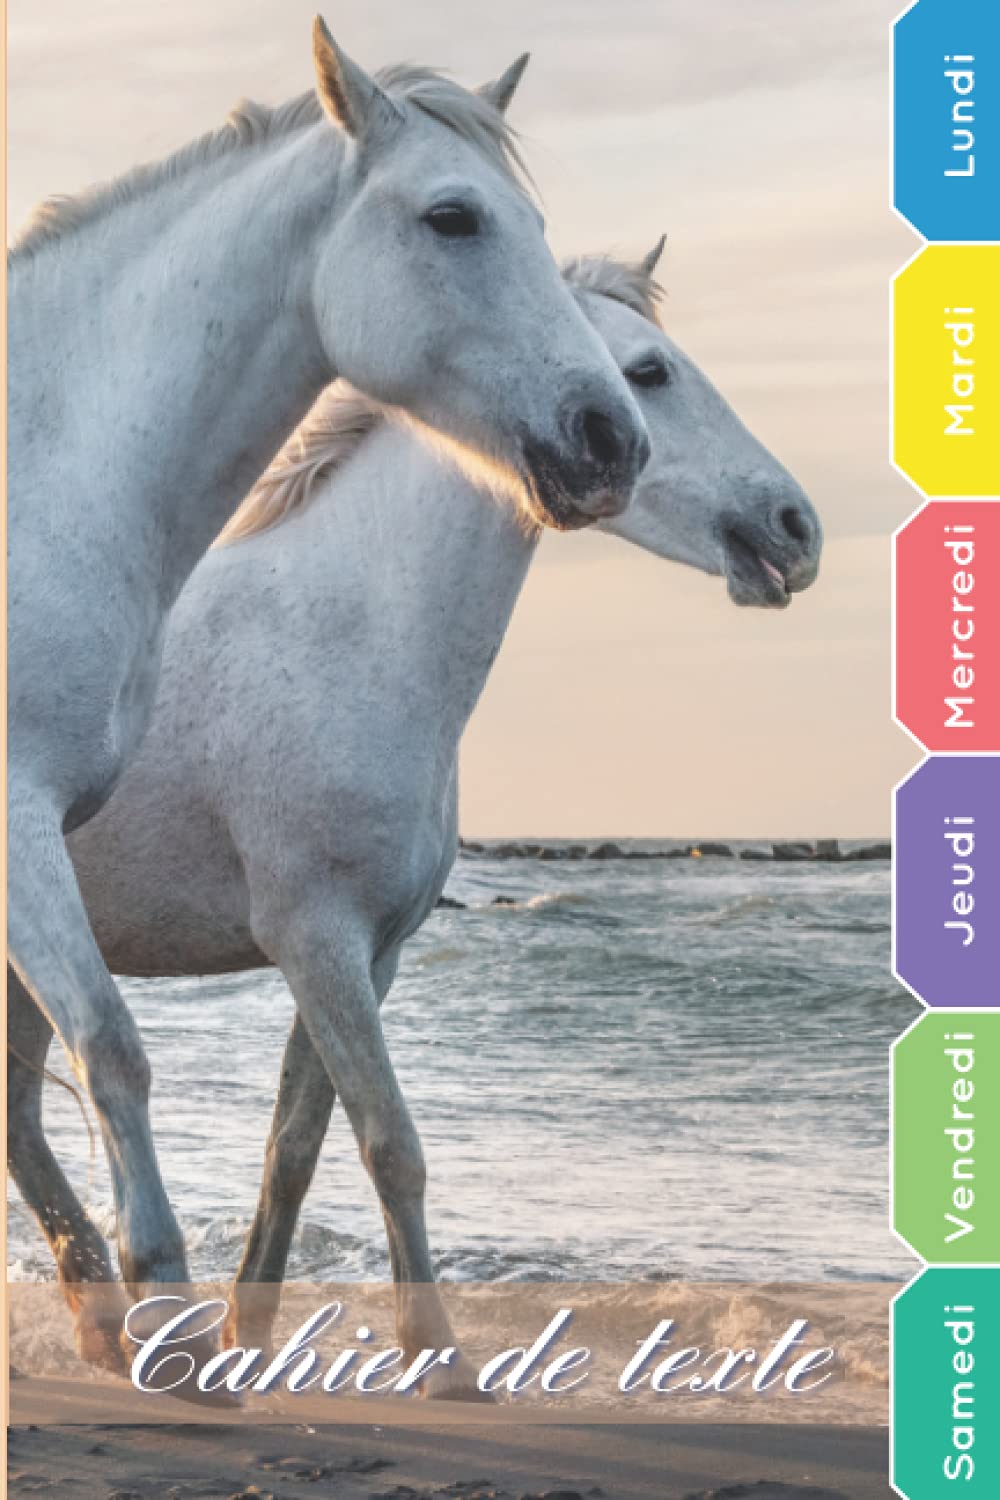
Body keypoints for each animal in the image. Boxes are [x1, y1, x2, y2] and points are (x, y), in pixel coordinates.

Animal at [8, 246, 821, 1399]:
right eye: (650, 372)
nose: (795, 530)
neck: (351, 635)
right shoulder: (318, 941)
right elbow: (391, 1141)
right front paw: (437, 1359)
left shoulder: (376, 951)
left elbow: (296, 1150)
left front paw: (255, 1338)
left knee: (21, 1121)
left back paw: (104, 1327)